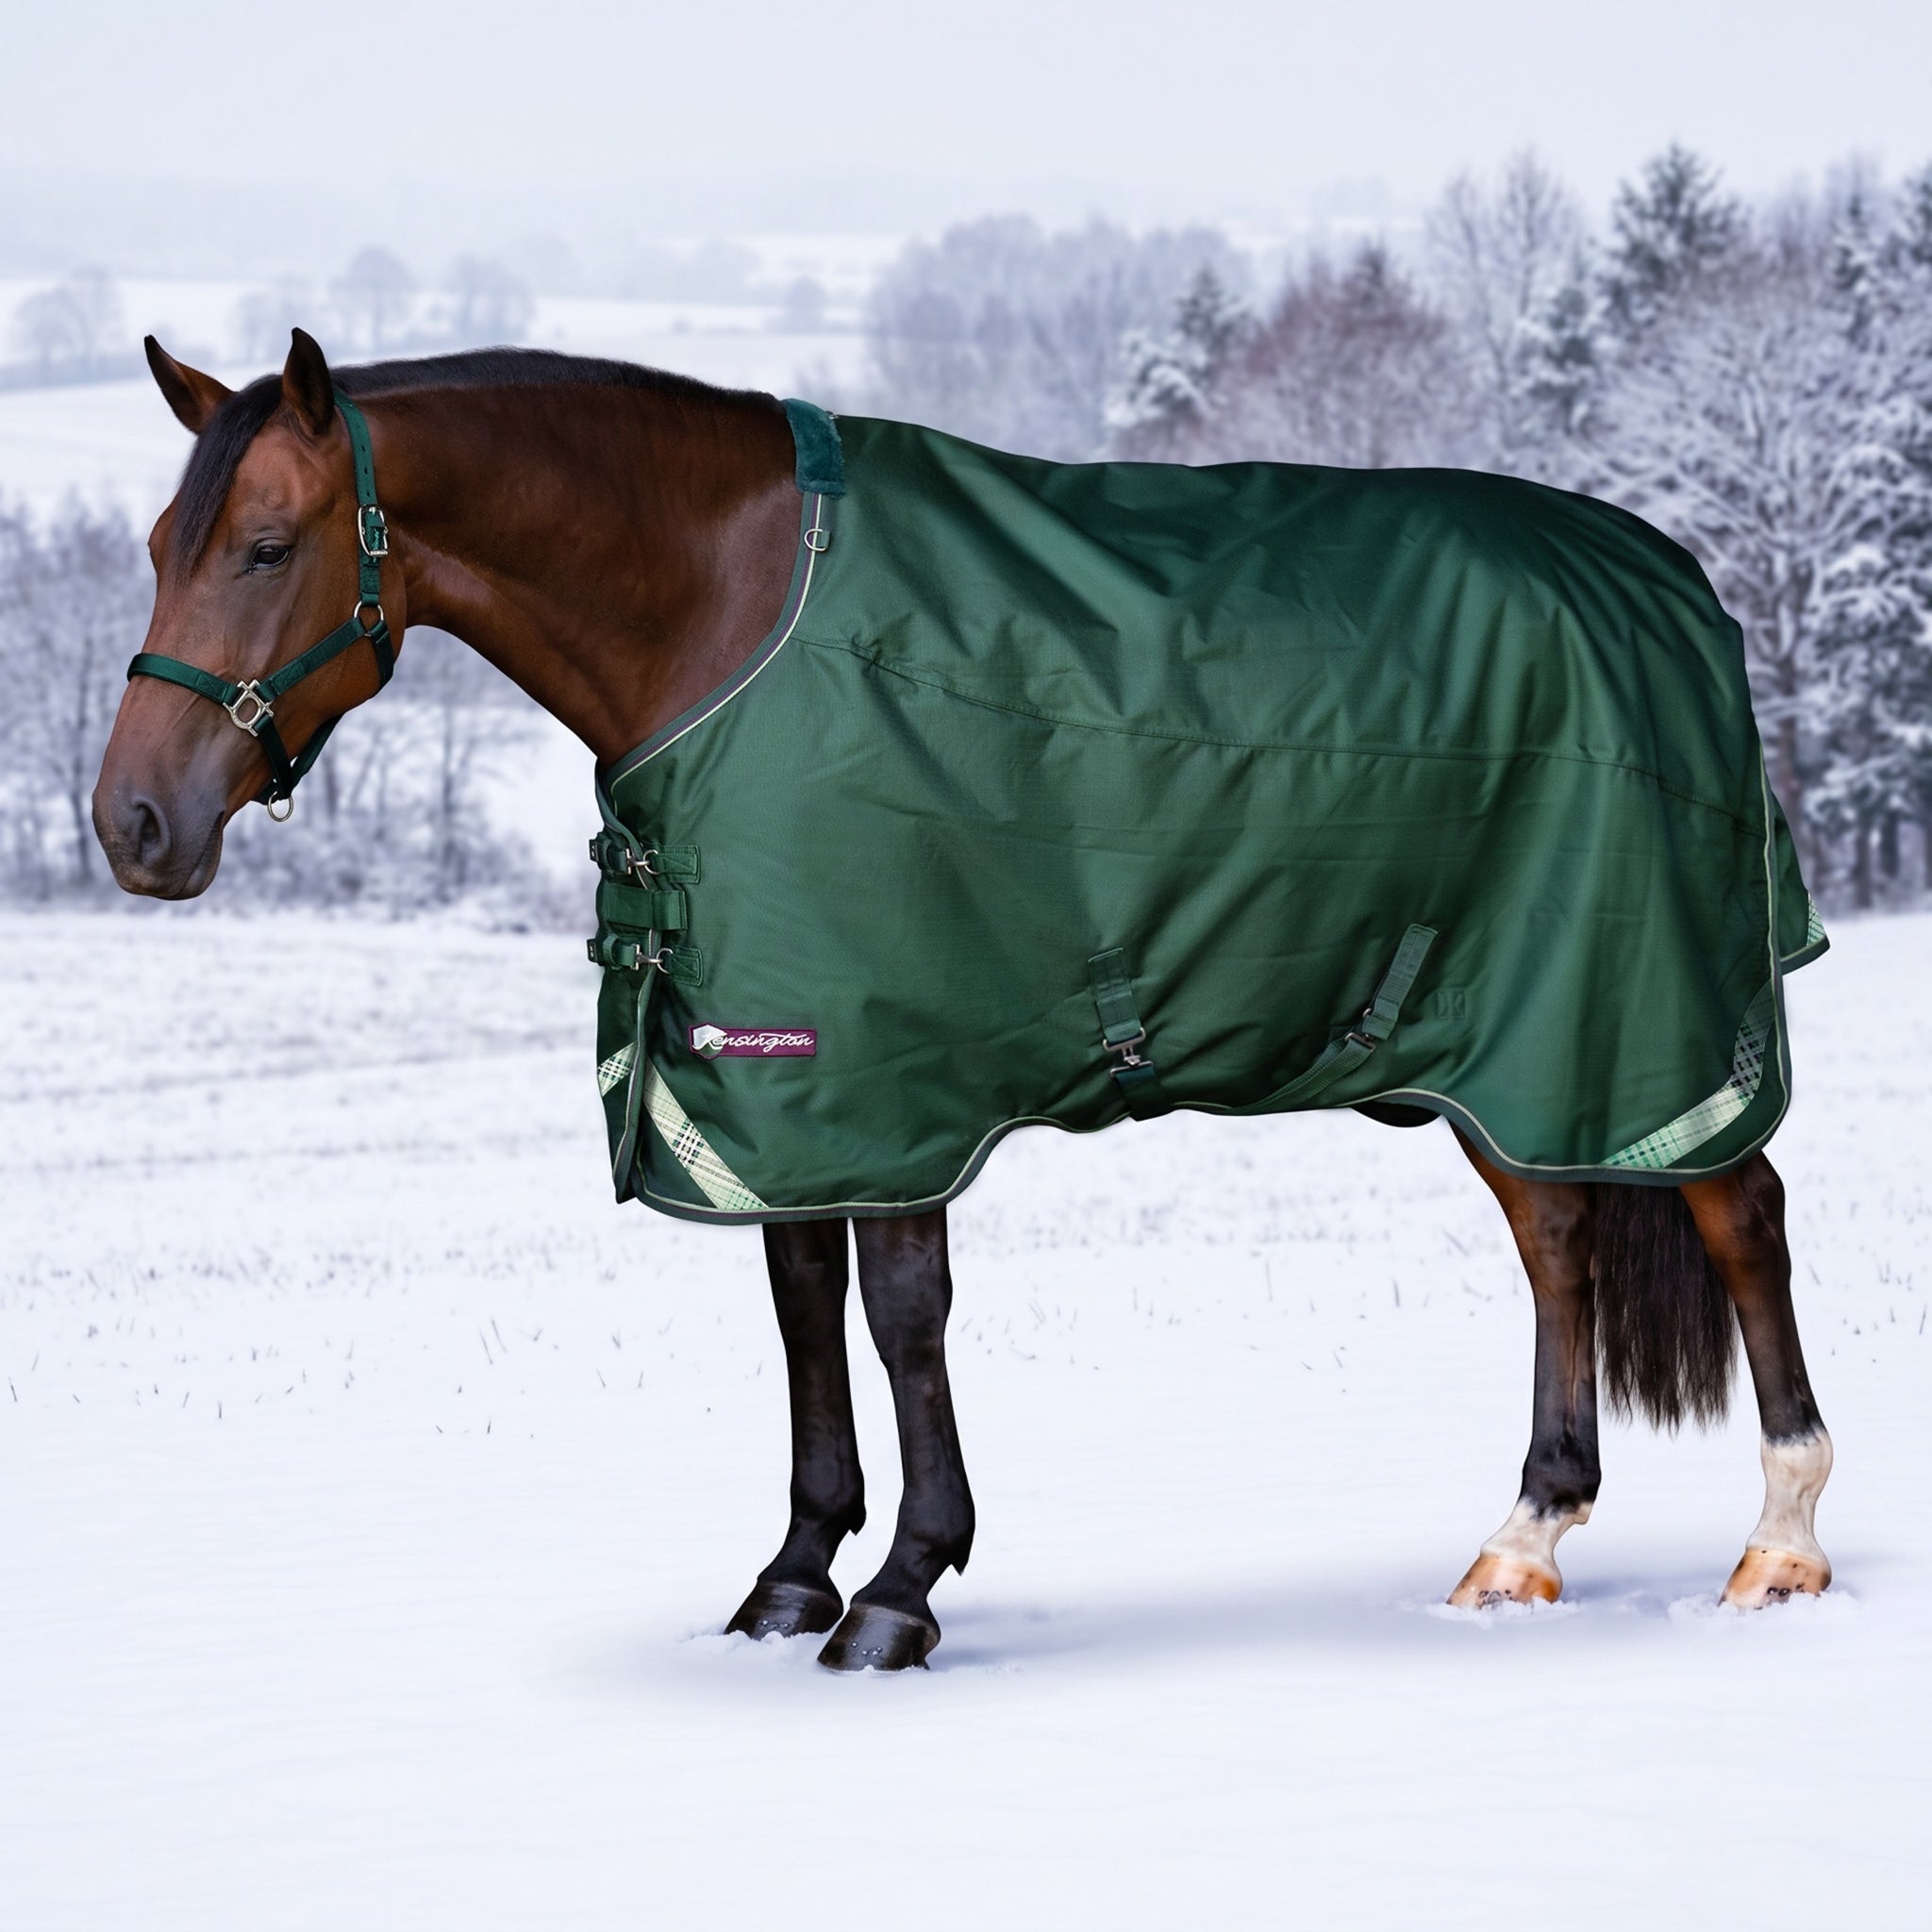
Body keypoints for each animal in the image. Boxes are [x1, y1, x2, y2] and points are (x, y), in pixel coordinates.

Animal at [93, 329, 1834, 1672]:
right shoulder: (773, 1079)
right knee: (1556, 1233)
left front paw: (899, 1593)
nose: (131, 826)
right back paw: (1522, 1539)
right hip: (1502, 1039)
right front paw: (790, 1580)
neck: (729, 610)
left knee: (1737, 1208)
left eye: (265, 547)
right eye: (161, 548)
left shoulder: (896, 1065)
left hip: (1643, 1014)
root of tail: (1672, 577)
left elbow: (900, 1315)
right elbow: (802, 1310)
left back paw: (1778, 1543)